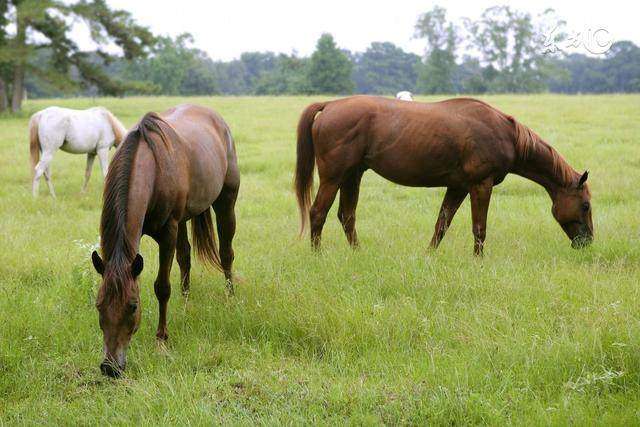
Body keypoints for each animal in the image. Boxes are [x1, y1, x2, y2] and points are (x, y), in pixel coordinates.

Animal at [90, 104, 240, 378]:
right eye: (99, 305)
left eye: (133, 306)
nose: (110, 367)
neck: (152, 169)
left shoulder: (168, 233)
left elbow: (162, 287)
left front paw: (161, 338)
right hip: (183, 220)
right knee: (185, 257)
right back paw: (185, 302)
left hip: (226, 201)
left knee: (226, 253)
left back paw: (230, 297)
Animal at [296, 96, 596, 254]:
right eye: (585, 205)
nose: (588, 243)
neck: (506, 134)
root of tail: (330, 105)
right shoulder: (481, 184)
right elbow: (479, 227)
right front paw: (478, 262)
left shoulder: (458, 187)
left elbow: (441, 224)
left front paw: (429, 256)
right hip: (334, 177)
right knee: (318, 213)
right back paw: (318, 256)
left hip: (352, 175)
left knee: (346, 216)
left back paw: (358, 254)